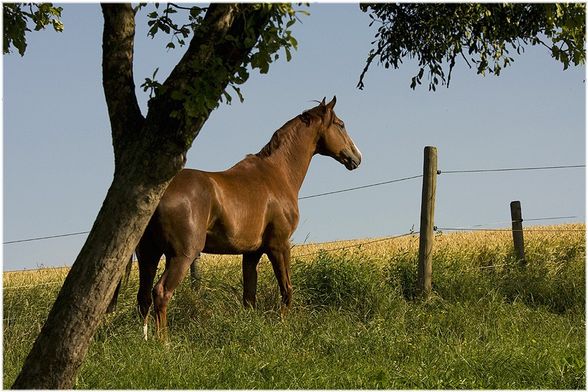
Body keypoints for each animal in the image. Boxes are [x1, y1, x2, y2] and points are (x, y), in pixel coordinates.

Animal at [120, 96, 360, 338]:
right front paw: (283, 326)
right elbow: (286, 289)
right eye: (340, 124)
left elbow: (249, 297)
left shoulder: (251, 253)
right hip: (181, 256)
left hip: (149, 255)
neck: (277, 174)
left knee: (143, 298)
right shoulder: (279, 245)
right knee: (161, 293)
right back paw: (165, 343)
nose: (356, 157)